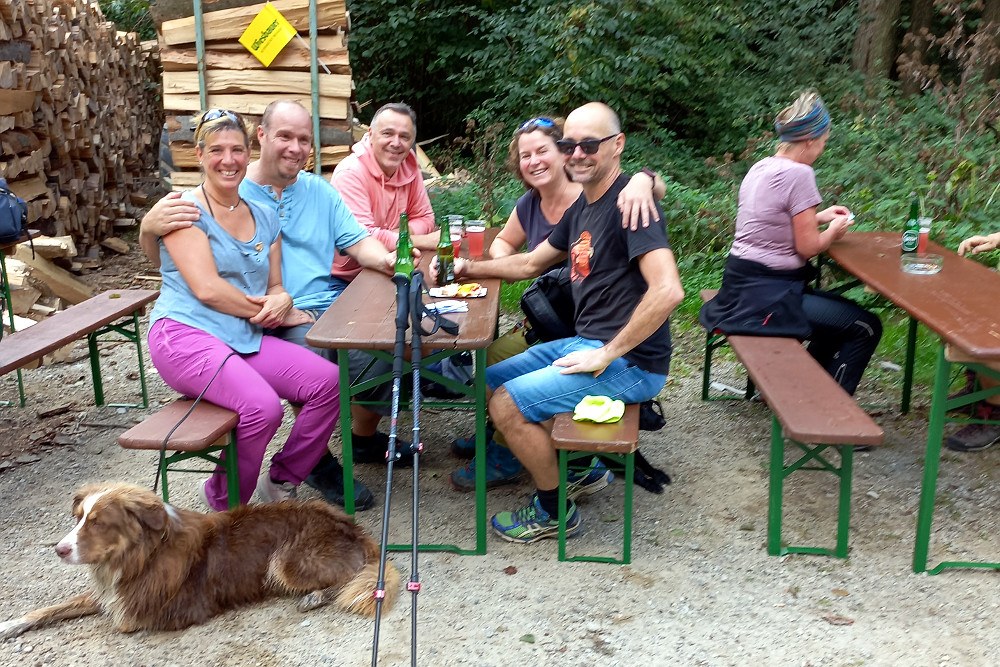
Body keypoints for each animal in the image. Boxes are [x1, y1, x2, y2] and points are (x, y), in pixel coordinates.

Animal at [0, 482, 398, 640]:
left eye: (98, 523)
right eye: (79, 517)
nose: (59, 549)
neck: (143, 557)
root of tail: (355, 528)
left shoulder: (161, 609)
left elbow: (123, 619)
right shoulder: (110, 591)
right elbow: (52, 607)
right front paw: (11, 623)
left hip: (286, 561)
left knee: (353, 580)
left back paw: (315, 596)